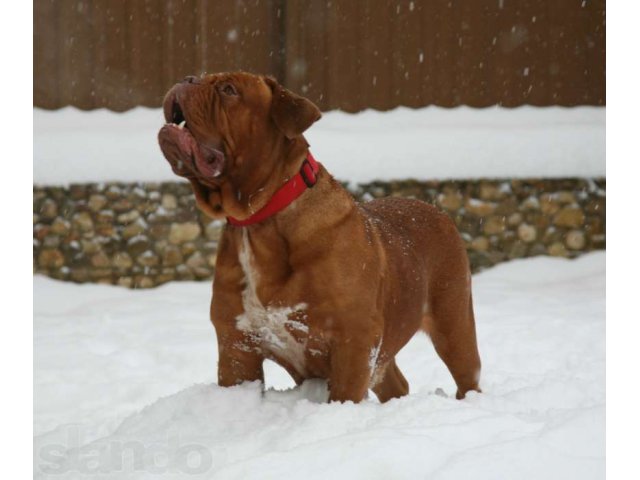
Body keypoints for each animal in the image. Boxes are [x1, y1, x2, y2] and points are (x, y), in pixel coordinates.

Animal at [159, 71, 480, 402]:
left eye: (228, 90)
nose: (188, 79)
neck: (258, 222)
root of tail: (436, 210)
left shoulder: (354, 341)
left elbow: (345, 395)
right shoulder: (236, 345)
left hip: (454, 325)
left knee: (467, 375)